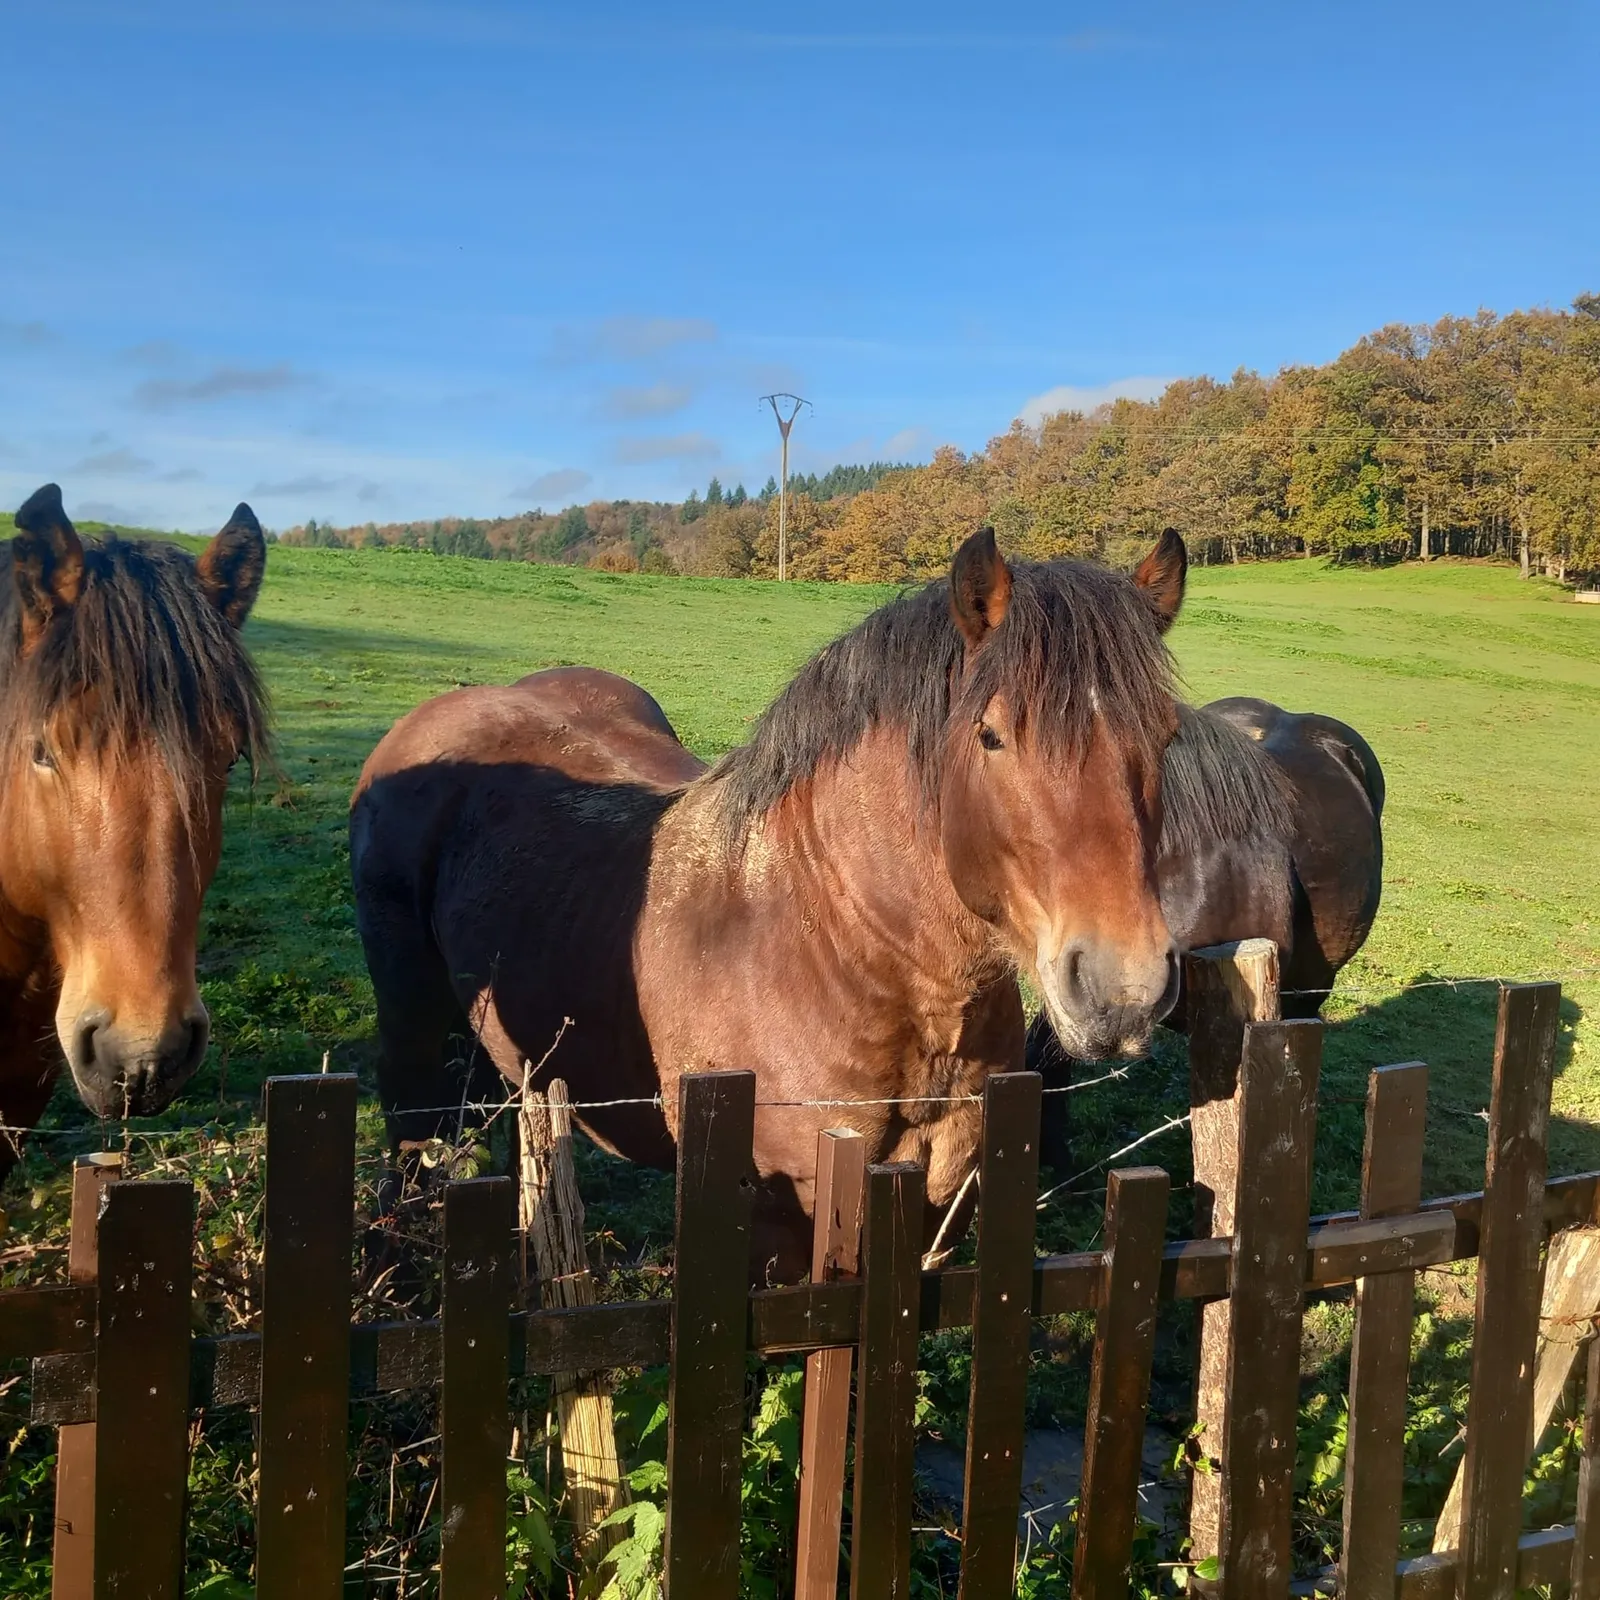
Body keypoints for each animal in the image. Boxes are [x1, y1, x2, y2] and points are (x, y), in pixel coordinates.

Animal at [352, 526, 1190, 1280]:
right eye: (990, 736)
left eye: (1168, 735)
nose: (1121, 989)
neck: (837, 946)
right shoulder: (786, 1233)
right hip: (410, 1030)